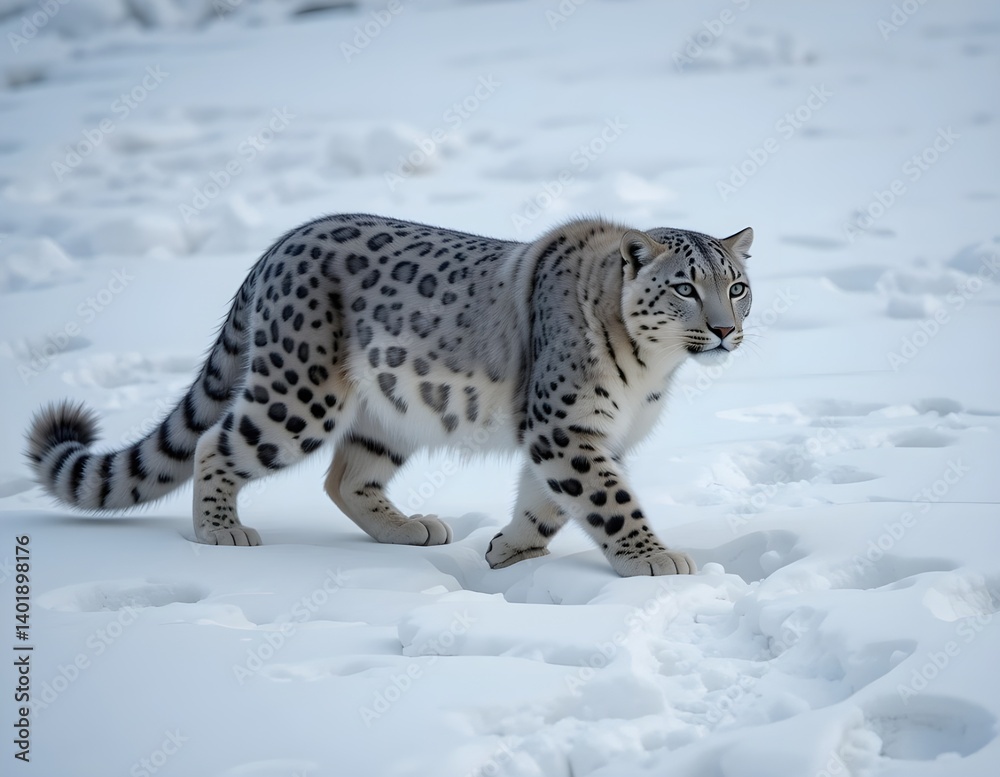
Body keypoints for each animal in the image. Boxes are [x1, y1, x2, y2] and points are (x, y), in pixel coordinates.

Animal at [25, 213, 753, 577]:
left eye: (737, 285)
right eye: (685, 287)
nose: (725, 329)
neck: (653, 373)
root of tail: (275, 247)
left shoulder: (591, 436)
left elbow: (548, 501)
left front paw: (509, 551)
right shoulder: (566, 427)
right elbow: (607, 499)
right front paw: (655, 559)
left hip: (389, 416)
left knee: (345, 475)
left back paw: (411, 528)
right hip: (295, 396)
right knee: (215, 442)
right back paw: (221, 531)